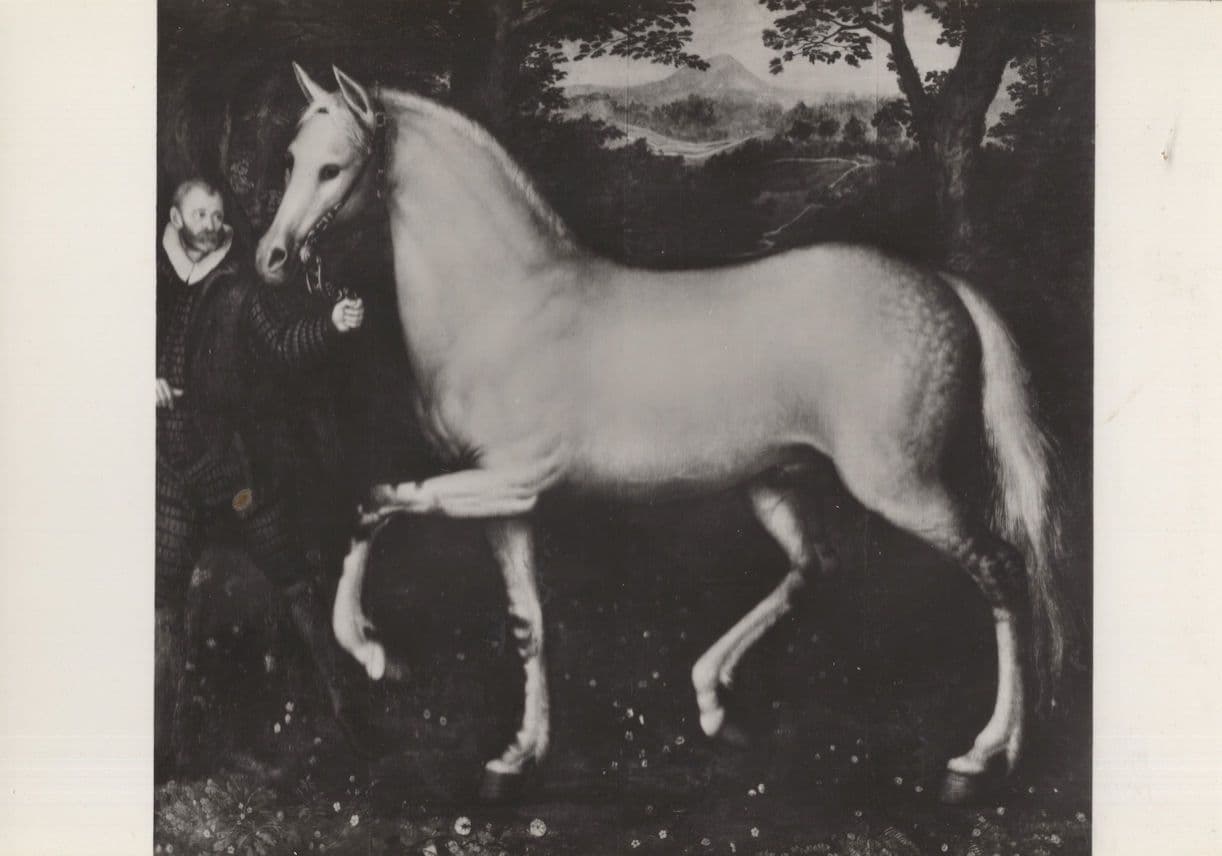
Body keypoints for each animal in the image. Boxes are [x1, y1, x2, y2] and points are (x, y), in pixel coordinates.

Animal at [255, 63, 1075, 804]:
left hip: (899, 486)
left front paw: (368, 648)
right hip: (776, 483)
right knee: (815, 566)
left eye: (333, 167)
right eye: (291, 159)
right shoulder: (505, 500)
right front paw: (516, 759)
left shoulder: (507, 478)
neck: (510, 302)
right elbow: (526, 624)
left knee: (1001, 571)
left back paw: (984, 758)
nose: (270, 258)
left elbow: (372, 500)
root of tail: (943, 286)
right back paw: (713, 700)